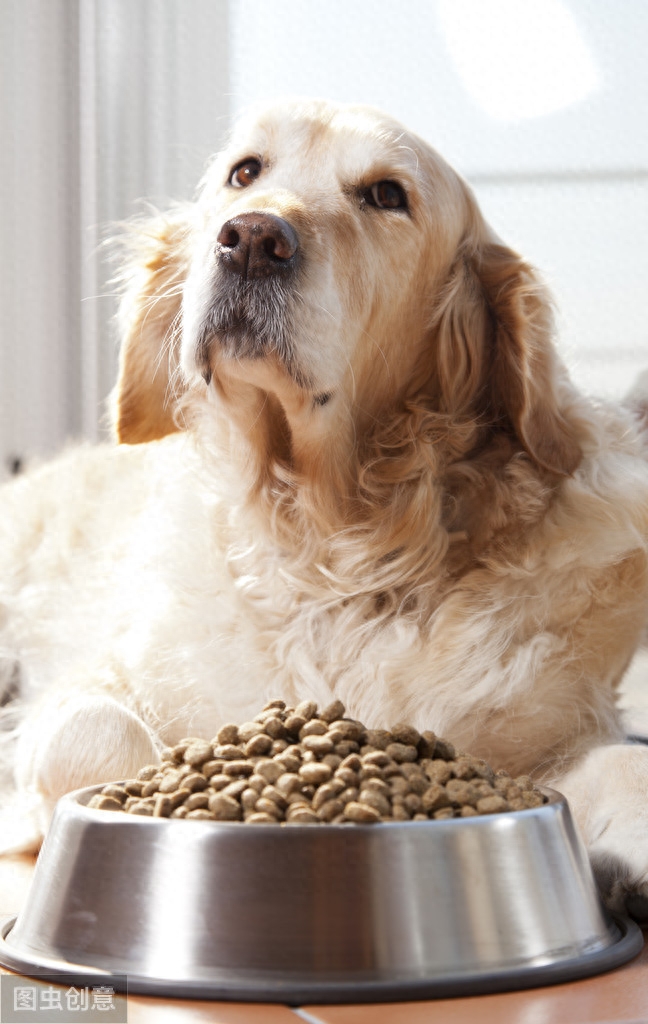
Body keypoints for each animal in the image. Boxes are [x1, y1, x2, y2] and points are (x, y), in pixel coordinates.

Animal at [1, 101, 646, 913]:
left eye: (387, 194)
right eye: (244, 172)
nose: (252, 239)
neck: (331, 542)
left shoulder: (538, 736)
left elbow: (615, 764)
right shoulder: (89, 683)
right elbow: (101, 732)